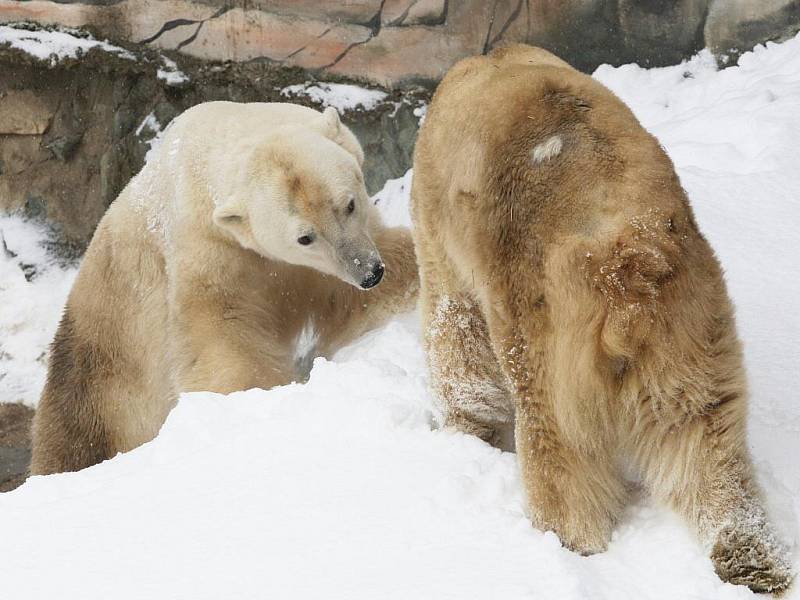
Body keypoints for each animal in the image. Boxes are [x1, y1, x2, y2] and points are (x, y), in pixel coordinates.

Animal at [31, 103, 418, 478]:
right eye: (305, 237)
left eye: (349, 204)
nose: (368, 273)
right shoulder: (209, 253)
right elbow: (222, 338)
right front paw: (251, 400)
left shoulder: (309, 265)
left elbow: (345, 293)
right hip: (101, 370)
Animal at [412, 44, 792, 592]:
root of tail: (624, 272)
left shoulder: (441, 234)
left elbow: (456, 340)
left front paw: (465, 431)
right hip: (690, 326)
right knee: (706, 443)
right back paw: (752, 561)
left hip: (550, 336)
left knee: (559, 444)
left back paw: (565, 544)